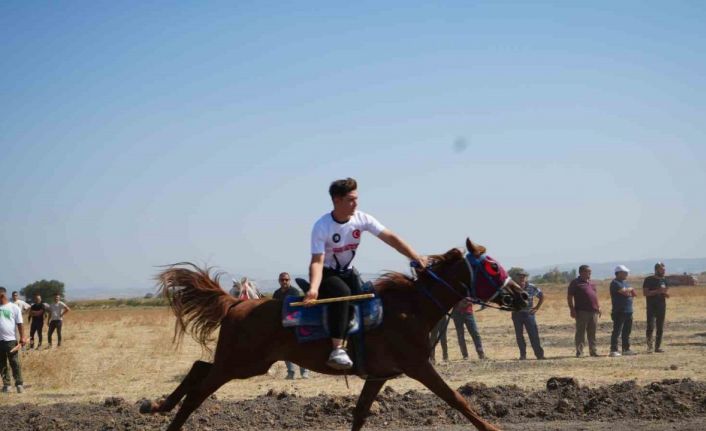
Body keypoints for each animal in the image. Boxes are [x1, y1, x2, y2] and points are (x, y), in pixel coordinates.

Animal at [143, 240, 524, 431]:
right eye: (493, 267)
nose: (521, 296)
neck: (411, 307)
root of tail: (237, 303)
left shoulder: (378, 375)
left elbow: (360, 413)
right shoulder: (419, 366)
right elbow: (457, 399)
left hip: (245, 363)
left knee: (198, 368)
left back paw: (158, 405)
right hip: (241, 364)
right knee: (198, 391)